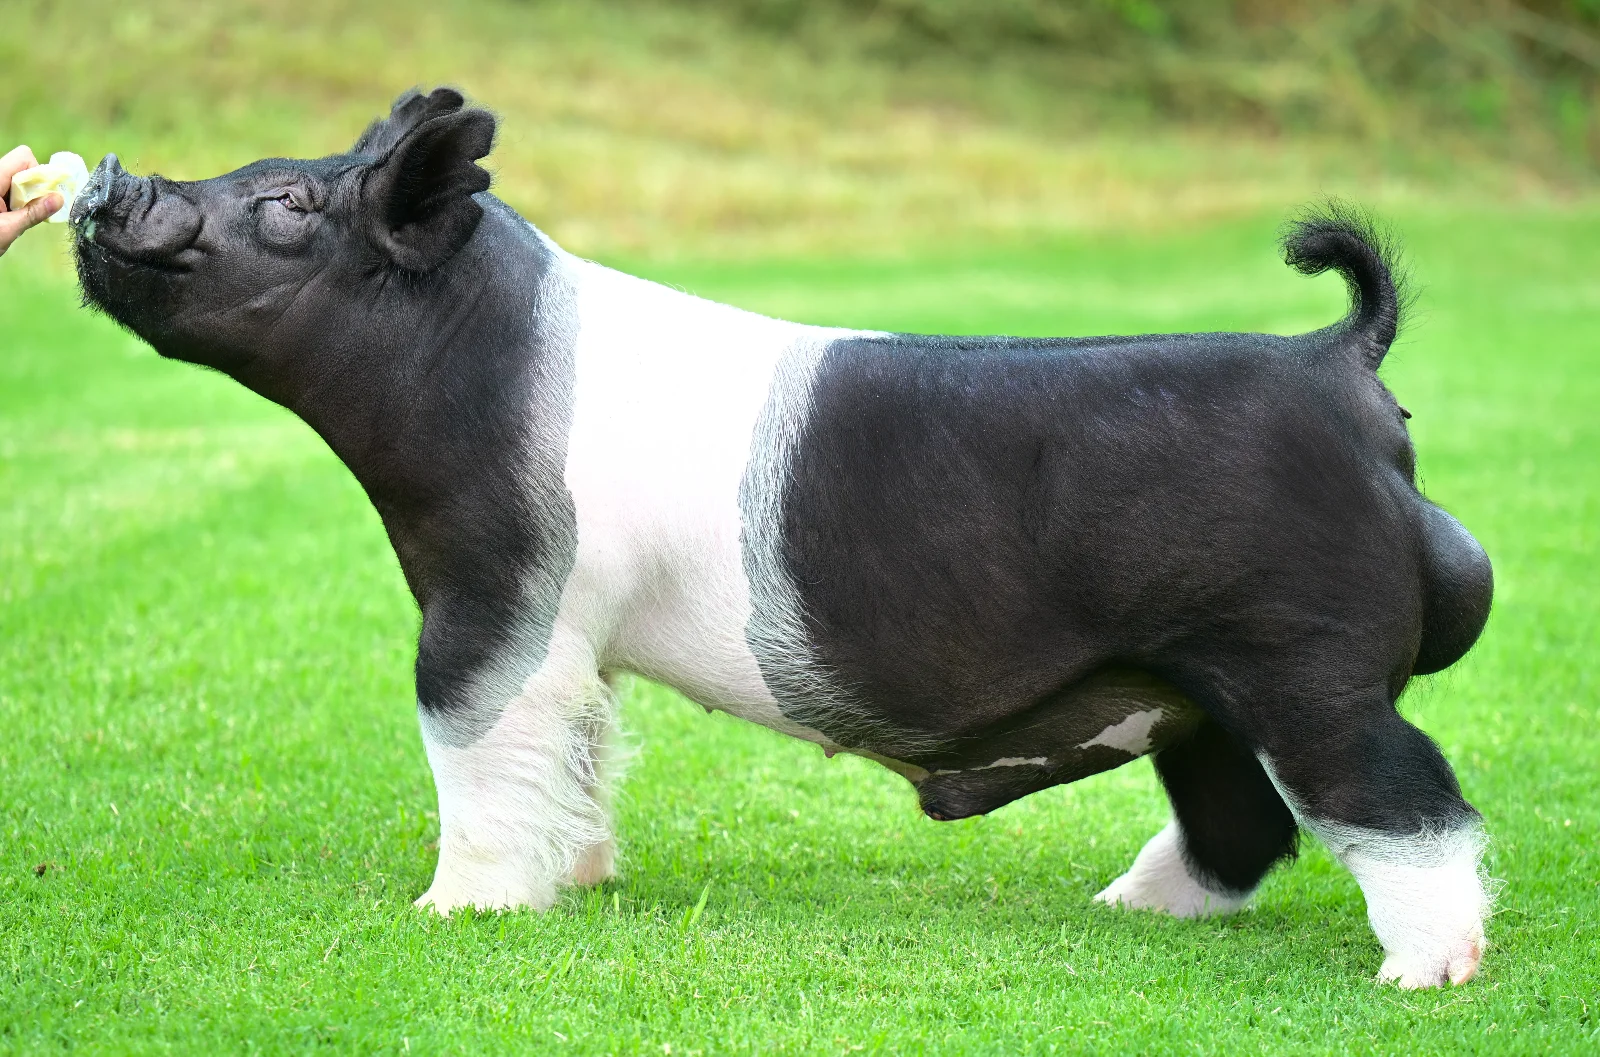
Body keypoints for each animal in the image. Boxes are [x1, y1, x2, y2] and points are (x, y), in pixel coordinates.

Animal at [72, 88, 1493, 988]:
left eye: (285, 205)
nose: (109, 178)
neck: (477, 365)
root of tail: (1337, 360)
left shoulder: (491, 600)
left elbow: (468, 744)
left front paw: (453, 910)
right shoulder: (572, 641)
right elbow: (579, 750)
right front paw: (582, 881)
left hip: (1299, 659)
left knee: (1407, 799)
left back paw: (1421, 976)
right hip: (1190, 688)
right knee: (1241, 821)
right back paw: (1125, 908)